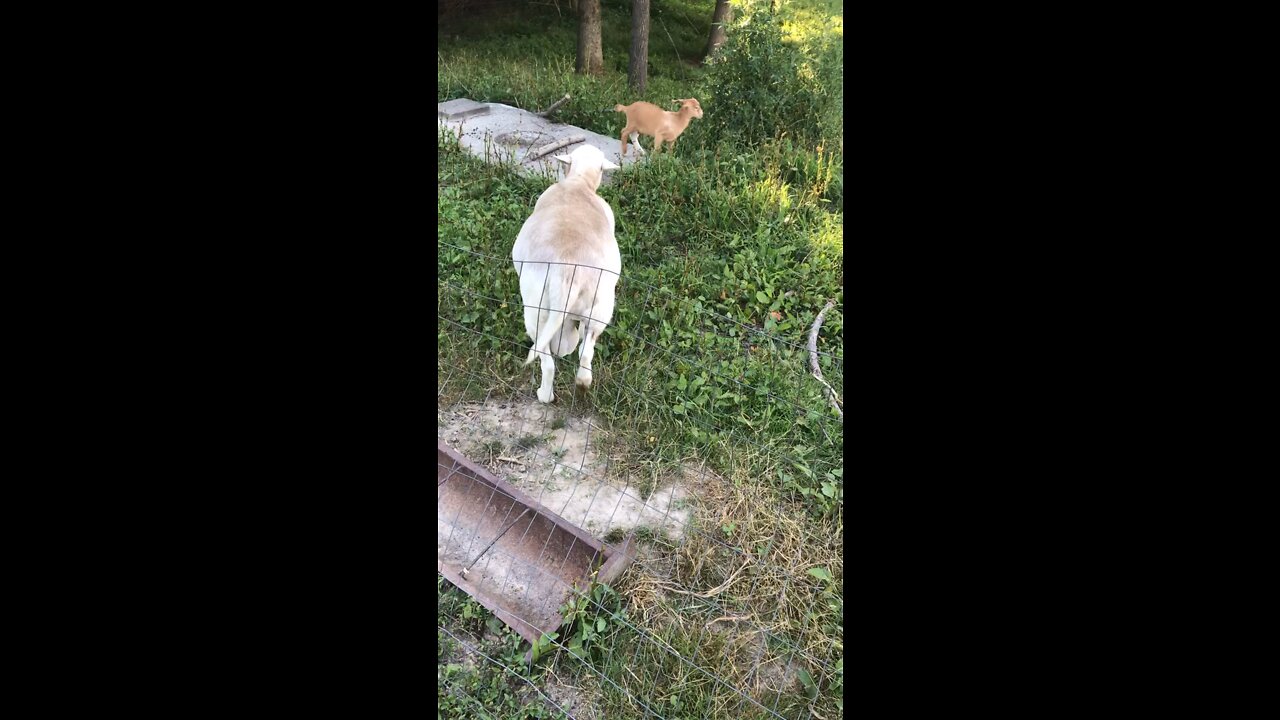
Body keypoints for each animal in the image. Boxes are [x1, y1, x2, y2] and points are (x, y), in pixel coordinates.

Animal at [514, 142, 624, 399]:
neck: (579, 181)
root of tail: (566, 271)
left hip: (535, 312)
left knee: (548, 361)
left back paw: (545, 395)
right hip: (600, 307)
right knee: (585, 349)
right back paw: (583, 382)